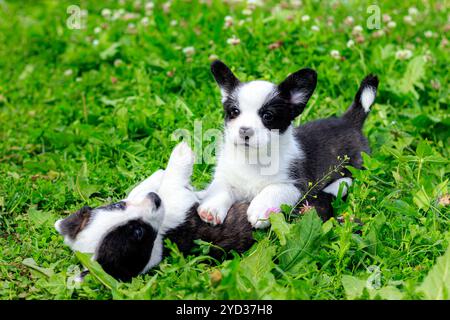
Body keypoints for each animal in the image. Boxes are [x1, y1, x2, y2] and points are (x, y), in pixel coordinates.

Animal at [53, 144, 253, 282]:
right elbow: (172, 185)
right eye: (138, 232)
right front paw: (180, 153)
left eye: (118, 205)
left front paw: (156, 176)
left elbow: (138, 190)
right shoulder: (181, 210)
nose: (154, 197)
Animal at [199, 60, 378, 228]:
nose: (244, 131)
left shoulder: (295, 185)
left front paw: (260, 209)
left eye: (268, 116)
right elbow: (220, 188)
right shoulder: (226, 177)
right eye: (234, 112)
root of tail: (349, 121)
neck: (253, 158)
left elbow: (273, 189)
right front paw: (211, 208)